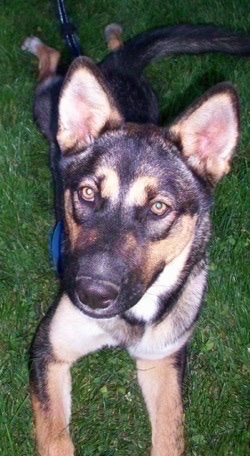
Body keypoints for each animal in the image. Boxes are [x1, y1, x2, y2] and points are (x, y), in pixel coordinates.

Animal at [22, 23, 250, 454]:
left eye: (159, 207)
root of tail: (117, 70)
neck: (131, 317)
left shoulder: (162, 360)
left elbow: (170, 436)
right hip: (46, 108)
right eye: (87, 193)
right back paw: (45, 45)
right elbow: (55, 439)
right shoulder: (48, 350)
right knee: (53, 65)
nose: (92, 295)